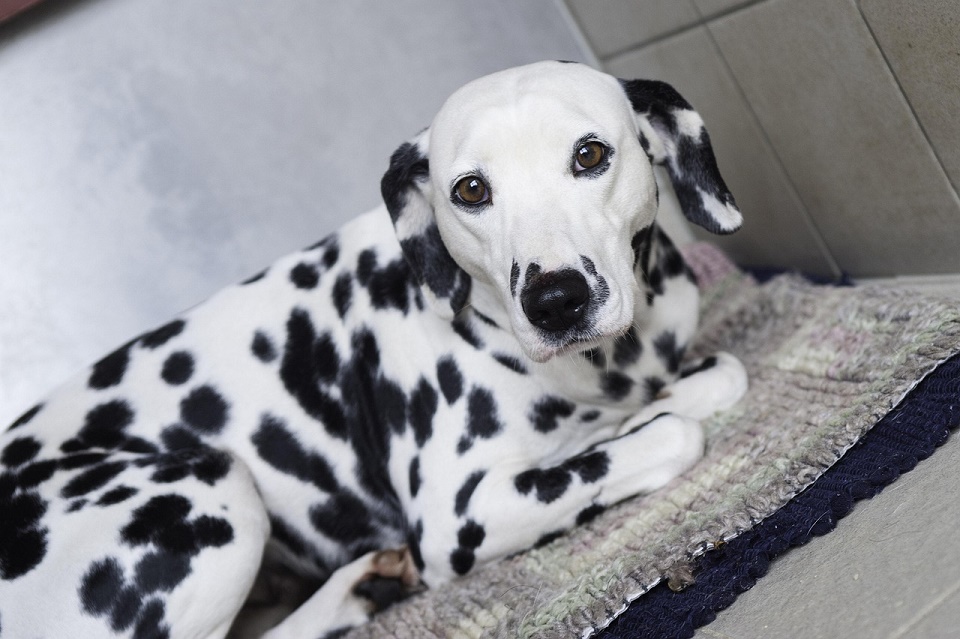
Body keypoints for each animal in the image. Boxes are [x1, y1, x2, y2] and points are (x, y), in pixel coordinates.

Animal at [0, 61, 747, 639]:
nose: (556, 299)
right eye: (471, 189)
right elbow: (670, 436)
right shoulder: (458, 519)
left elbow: (717, 379)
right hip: (211, 484)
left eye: (589, 155)